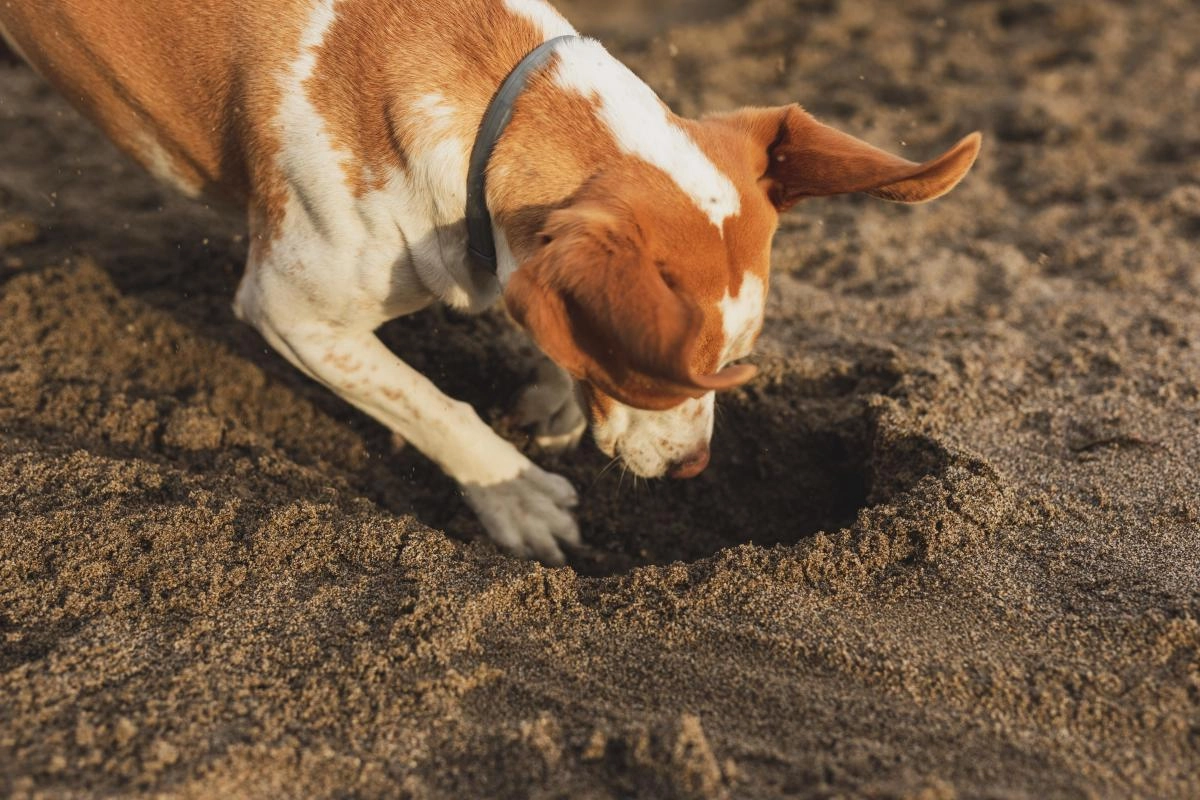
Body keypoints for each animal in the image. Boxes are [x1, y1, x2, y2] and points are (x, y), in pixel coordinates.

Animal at [0, 0, 979, 563]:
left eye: (743, 357)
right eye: (674, 376)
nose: (695, 467)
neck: (491, 98)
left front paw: (551, 394)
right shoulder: (291, 311)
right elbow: (430, 403)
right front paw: (516, 496)